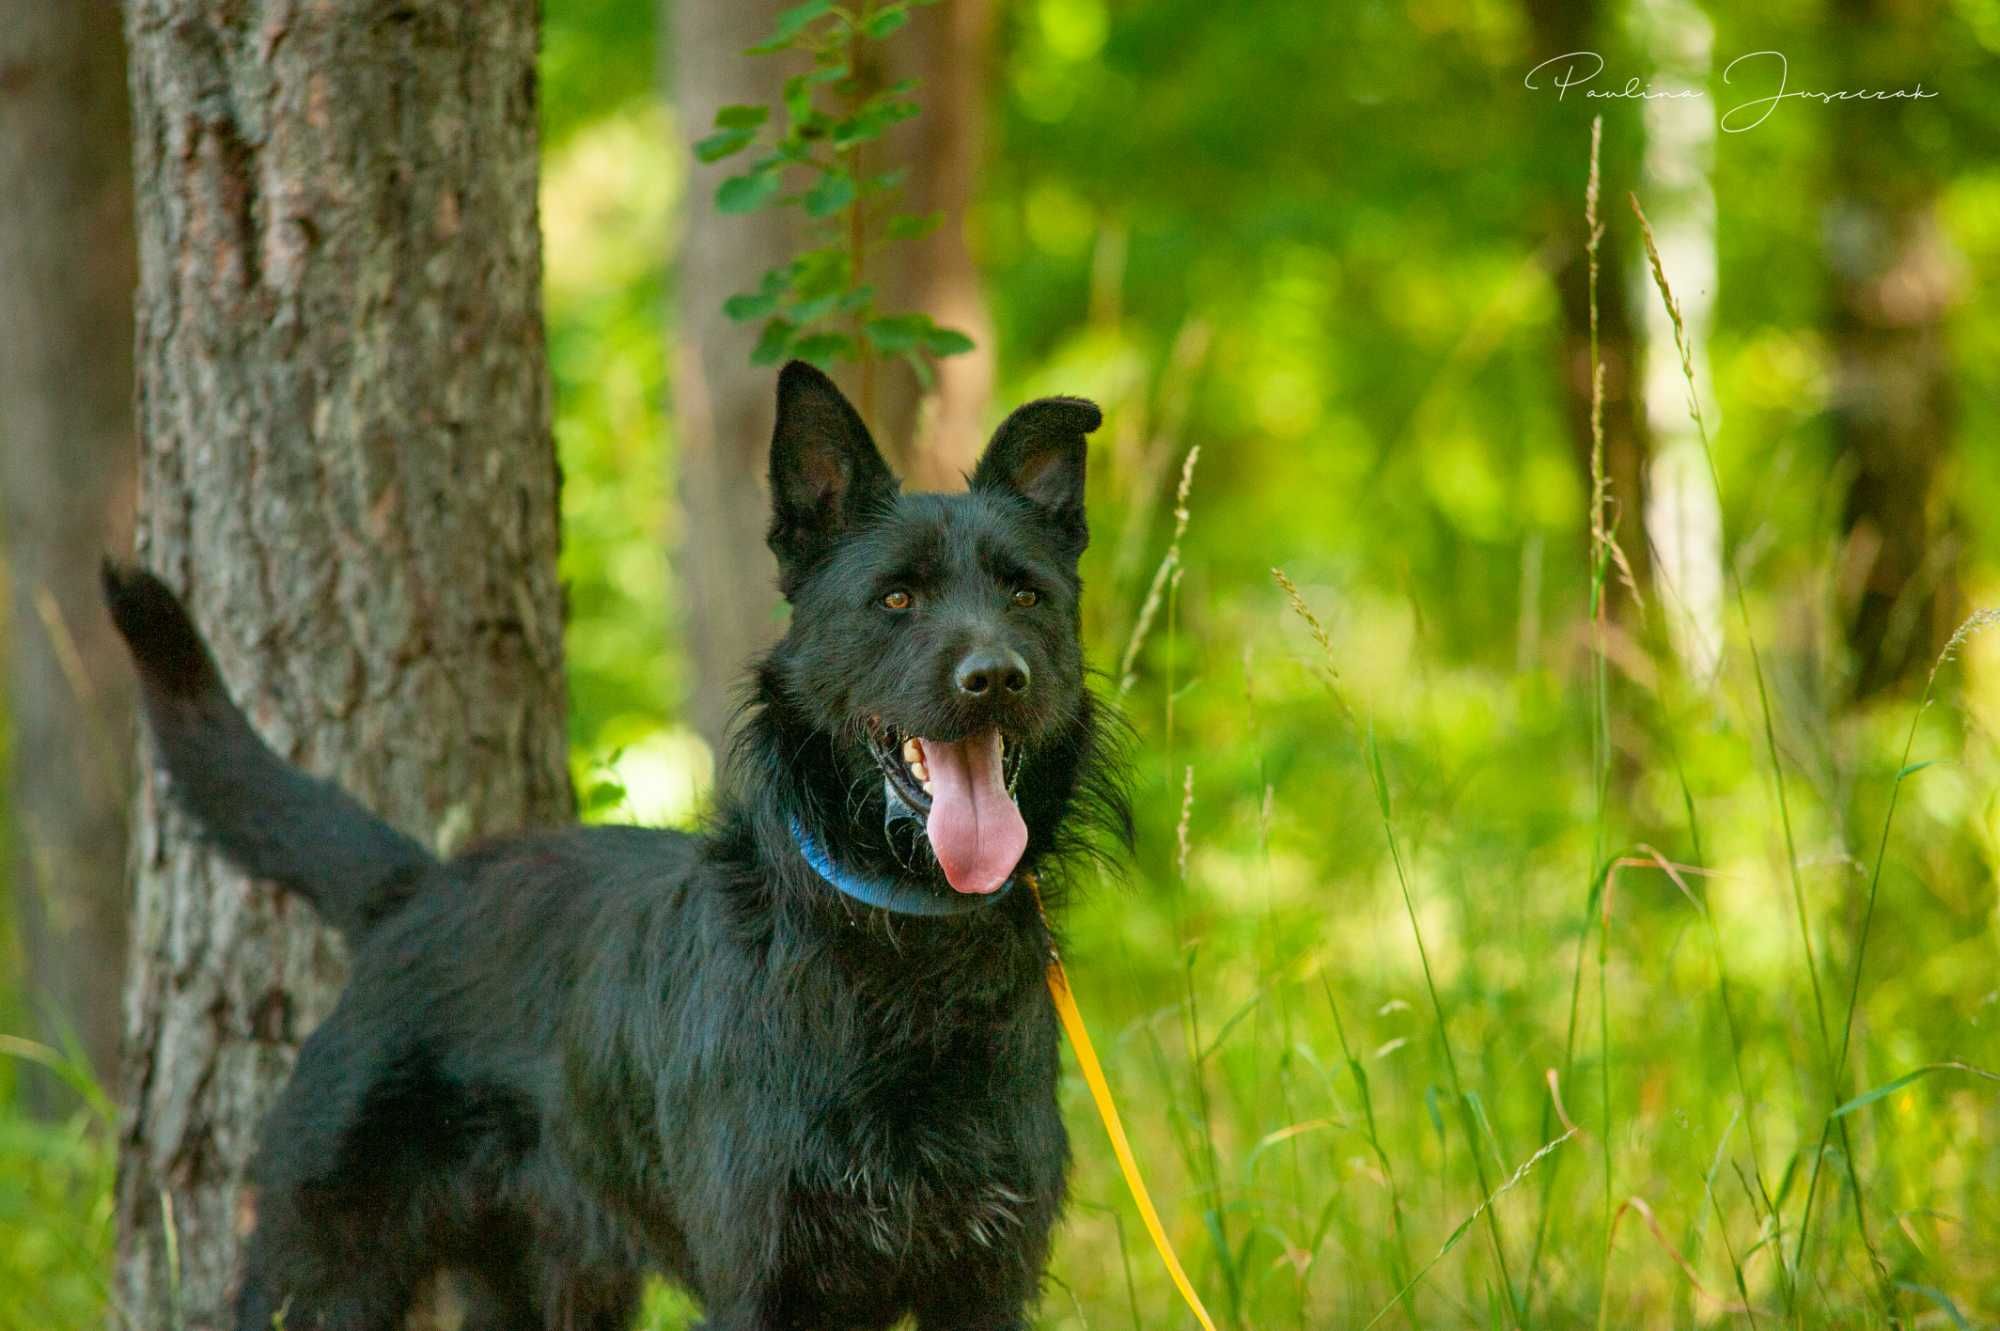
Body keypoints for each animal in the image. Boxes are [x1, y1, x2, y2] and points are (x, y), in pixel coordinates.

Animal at [109, 357, 1136, 1319]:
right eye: (896, 600)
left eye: (1025, 595)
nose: (994, 676)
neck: (902, 950)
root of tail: (419, 888)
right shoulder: (764, 1277)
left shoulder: (985, 1276)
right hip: (320, 1269)